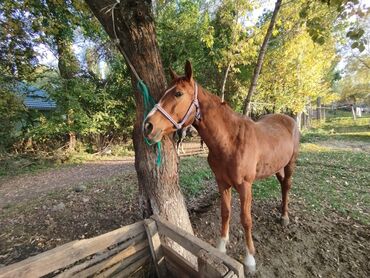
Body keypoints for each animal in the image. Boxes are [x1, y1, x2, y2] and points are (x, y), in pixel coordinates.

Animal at [143, 61, 300, 274]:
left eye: (178, 93)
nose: (148, 126)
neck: (230, 140)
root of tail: (289, 119)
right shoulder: (222, 183)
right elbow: (225, 213)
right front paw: (221, 249)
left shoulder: (245, 186)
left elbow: (245, 219)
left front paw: (250, 259)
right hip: (277, 167)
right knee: (283, 186)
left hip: (290, 164)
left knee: (287, 186)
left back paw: (284, 217)